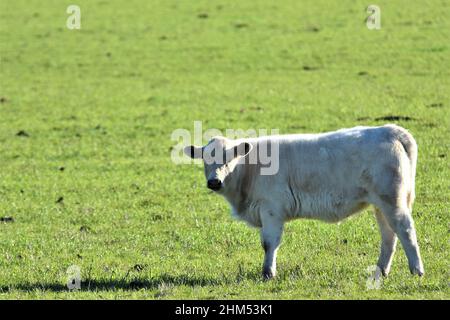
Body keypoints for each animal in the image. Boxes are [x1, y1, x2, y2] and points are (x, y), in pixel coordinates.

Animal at [184, 124, 426, 278]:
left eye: (229, 158)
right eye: (205, 159)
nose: (214, 182)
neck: (249, 169)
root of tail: (388, 130)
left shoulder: (271, 209)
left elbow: (269, 243)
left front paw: (268, 273)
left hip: (392, 200)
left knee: (405, 230)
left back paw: (417, 270)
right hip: (381, 204)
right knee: (389, 236)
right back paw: (381, 271)